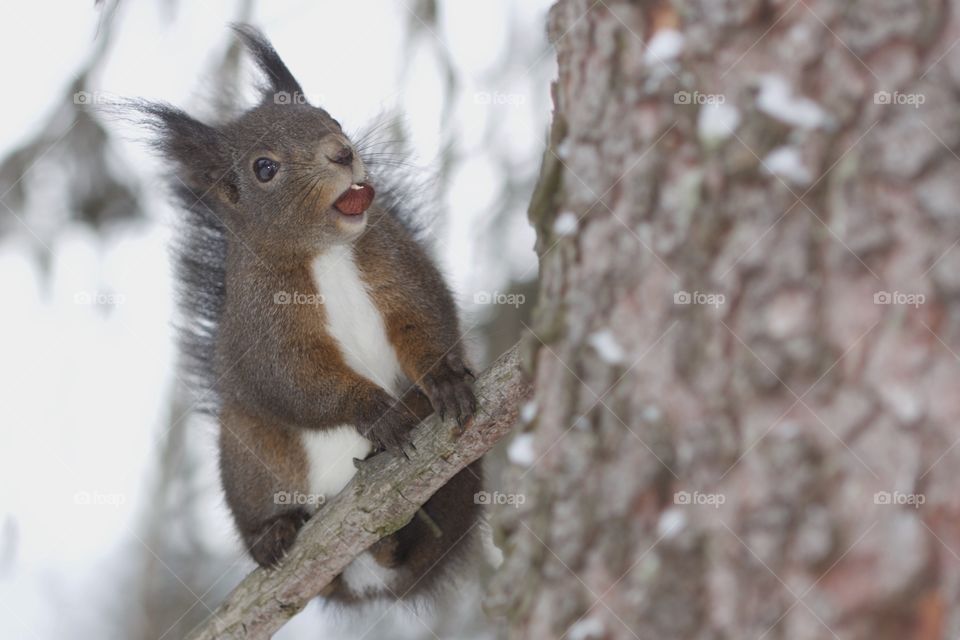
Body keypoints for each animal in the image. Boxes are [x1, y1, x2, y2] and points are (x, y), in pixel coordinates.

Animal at [132, 25, 484, 604]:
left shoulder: (398, 264)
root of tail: (367, 576)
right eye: (264, 168)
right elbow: (293, 377)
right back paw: (273, 534)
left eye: (331, 117)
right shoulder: (262, 323)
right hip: (248, 459)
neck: (326, 254)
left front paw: (444, 381)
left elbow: (425, 319)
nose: (342, 152)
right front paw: (375, 411)